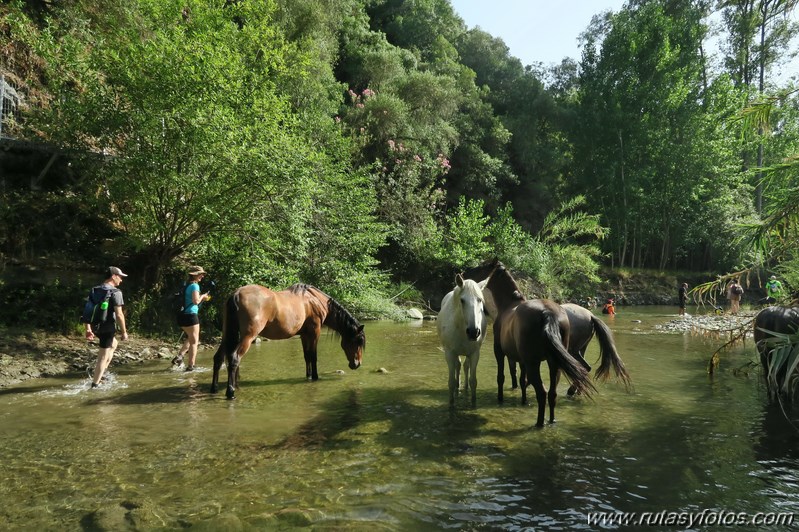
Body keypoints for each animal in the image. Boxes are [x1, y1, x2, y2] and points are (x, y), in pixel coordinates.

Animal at [209, 284, 366, 396]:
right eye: (357, 341)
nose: (357, 364)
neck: (315, 300)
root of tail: (236, 294)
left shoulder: (304, 334)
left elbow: (307, 356)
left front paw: (308, 376)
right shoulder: (315, 332)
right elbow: (313, 356)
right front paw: (315, 377)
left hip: (227, 335)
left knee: (218, 358)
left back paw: (215, 388)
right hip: (248, 336)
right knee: (235, 358)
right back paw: (230, 391)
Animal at [438, 272, 488, 406]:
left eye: (480, 299)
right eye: (462, 300)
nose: (474, 332)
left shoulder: (475, 353)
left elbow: (473, 380)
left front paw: (473, 404)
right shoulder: (449, 353)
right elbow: (450, 381)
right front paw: (451, 404)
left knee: (465, 366)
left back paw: (464, 386)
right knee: (458, 366)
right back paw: (458, 385)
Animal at [466, 260, 596, 426]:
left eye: (482, 266)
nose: (464, 273)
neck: (508, 304)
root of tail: (548, 313)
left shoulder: (500, 352)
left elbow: (501, 377)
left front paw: (500, 399)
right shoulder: (521, 360)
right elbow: (522, 380)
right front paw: (523, 400)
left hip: (534, 363)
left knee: (542, 392)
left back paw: (539, 423)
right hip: (555, 364)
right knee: (552, 393)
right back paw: (552, 420)